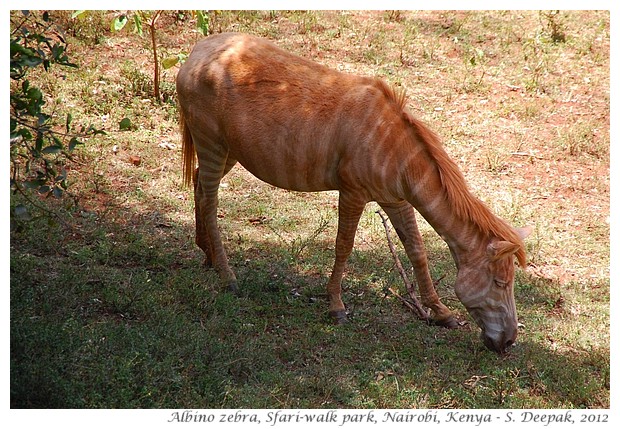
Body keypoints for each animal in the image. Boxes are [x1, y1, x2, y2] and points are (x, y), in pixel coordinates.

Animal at [177, 33, 532, 352]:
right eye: (501, 283)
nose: (509, 342)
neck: (396, 151)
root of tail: (196, 53)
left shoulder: (395, 199)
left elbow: (417, 250)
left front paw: (440, 312)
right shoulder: (353, 192)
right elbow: (343, 246)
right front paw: (335, 305)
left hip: (229, 151)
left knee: (198, 185)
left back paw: (207, 255)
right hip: (211, 143)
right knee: (209, 201)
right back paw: (227, 275)